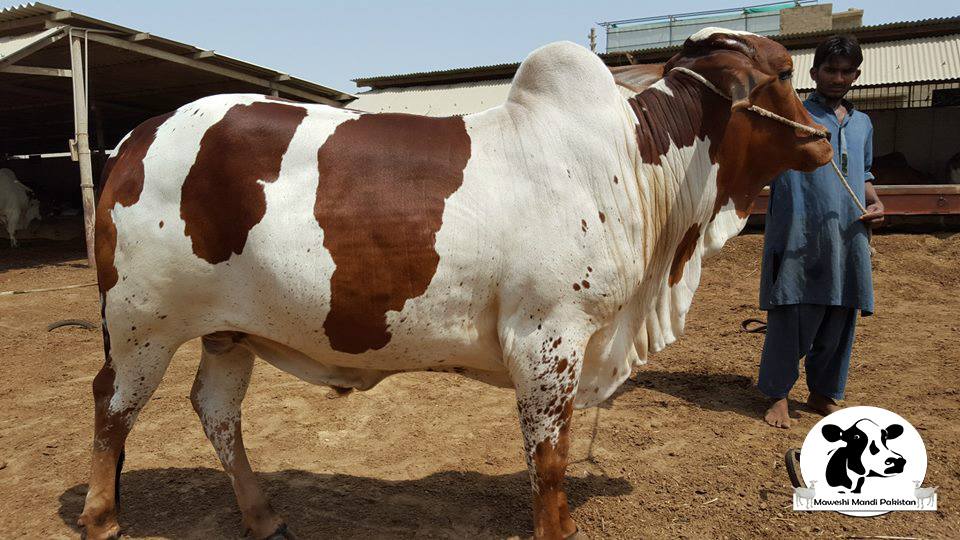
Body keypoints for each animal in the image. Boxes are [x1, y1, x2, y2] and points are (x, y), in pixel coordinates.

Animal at [78, 28, 832, 540]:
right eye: (783, 71)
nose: (824, 137)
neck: (633, 164)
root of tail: (136, 139)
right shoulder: (548, 338)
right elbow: (548, 459)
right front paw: (555, 528)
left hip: (227, 331)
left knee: (215, 410)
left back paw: (263, 516)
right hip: (143, 324)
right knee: (112, 407)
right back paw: (102, 516)